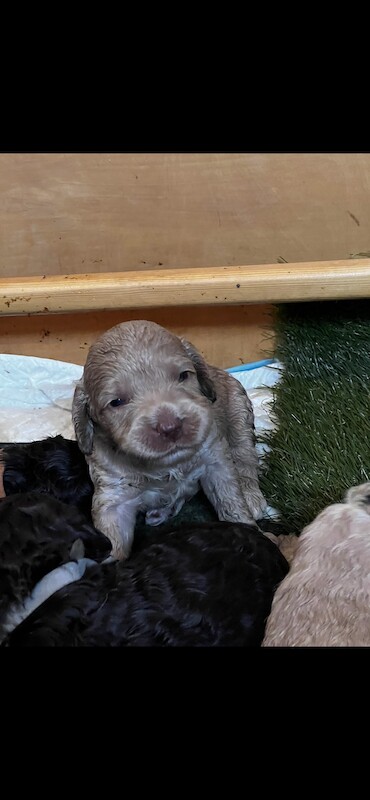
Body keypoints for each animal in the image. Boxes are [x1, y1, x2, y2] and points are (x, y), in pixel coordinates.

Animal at [71, 318, 266, 556]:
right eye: (116, 402)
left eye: (183, 375)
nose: (170, 427)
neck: (165, 465)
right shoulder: (113, 494)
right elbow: (112, 539)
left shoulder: (215, 459)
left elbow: (231, 499)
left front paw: (249, 532)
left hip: (238, 406)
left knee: (244, 453)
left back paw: (251, 495)